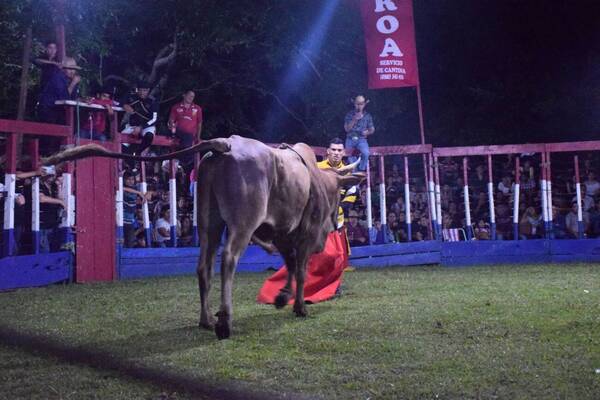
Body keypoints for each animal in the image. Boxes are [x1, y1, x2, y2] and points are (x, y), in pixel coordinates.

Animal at [44, 136, 364, 340]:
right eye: (339, 195)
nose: (334, 226)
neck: (317, 179)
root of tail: (226, 144)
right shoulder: (304, 234)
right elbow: (300, 268)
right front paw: (298, 306)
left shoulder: (282, 233)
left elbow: (290, 263)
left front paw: (282, 297)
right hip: (242, 224)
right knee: (228, 260)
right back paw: (224, 322)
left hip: (209, 222)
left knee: (203, 267)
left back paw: (207, 319)